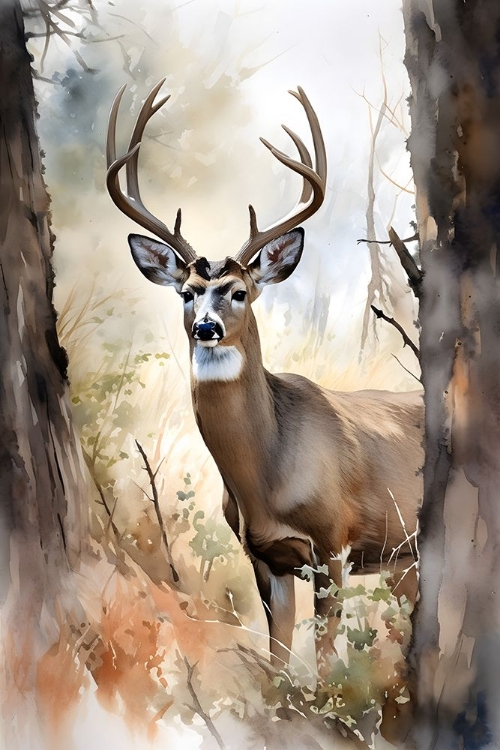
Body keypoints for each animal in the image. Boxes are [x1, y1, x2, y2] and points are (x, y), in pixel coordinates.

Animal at [106, 79, 423, 677]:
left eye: (239, 291)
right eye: (186, 292)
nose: (206, 327)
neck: (266, 478)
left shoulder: (333, 543)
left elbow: (324, 659)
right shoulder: (263, 557)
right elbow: (277, 663)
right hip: (404, 558)